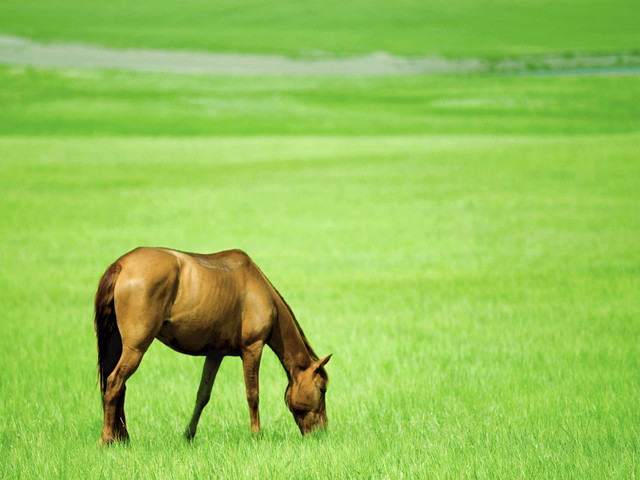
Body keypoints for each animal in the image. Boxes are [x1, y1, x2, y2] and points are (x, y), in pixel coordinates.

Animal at [94, 248, 330, 446]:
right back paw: (106, 440)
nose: (323, 433)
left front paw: (188, 435)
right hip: (135, 349)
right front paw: (257, 436)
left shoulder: (215, 354)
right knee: (114, 383)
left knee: (119, 387)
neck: (259, 290)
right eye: (322, 389)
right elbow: (252, 394)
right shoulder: (252, 349)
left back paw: (122, 438)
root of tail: (121, 264)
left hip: (118, 346)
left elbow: (203, 395)